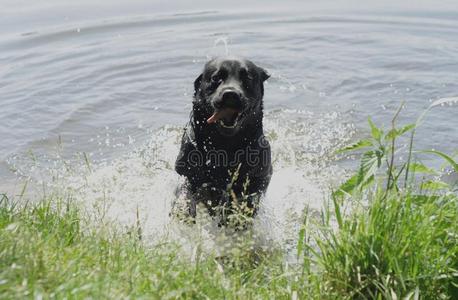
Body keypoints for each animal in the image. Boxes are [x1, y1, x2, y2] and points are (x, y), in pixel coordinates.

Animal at [174, 56, 270, 220]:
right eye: (216, 78)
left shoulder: (258, 179)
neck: (224, 147)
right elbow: (184, 191)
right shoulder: (186, 172)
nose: (231, 94)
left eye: (247, 77)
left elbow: (247, 199)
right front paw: (184, 210)